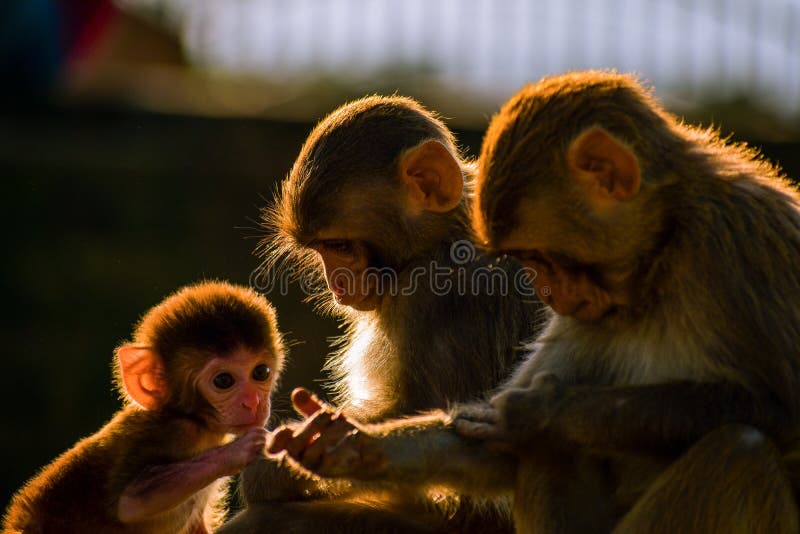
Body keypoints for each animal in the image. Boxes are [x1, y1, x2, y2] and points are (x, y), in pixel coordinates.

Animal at [2, 282, 284, 532]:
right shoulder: (172, 431)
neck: (193, 420)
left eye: (261, 372)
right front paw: (242, 448)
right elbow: (133, 501)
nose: (254, 402)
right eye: (224, 381)